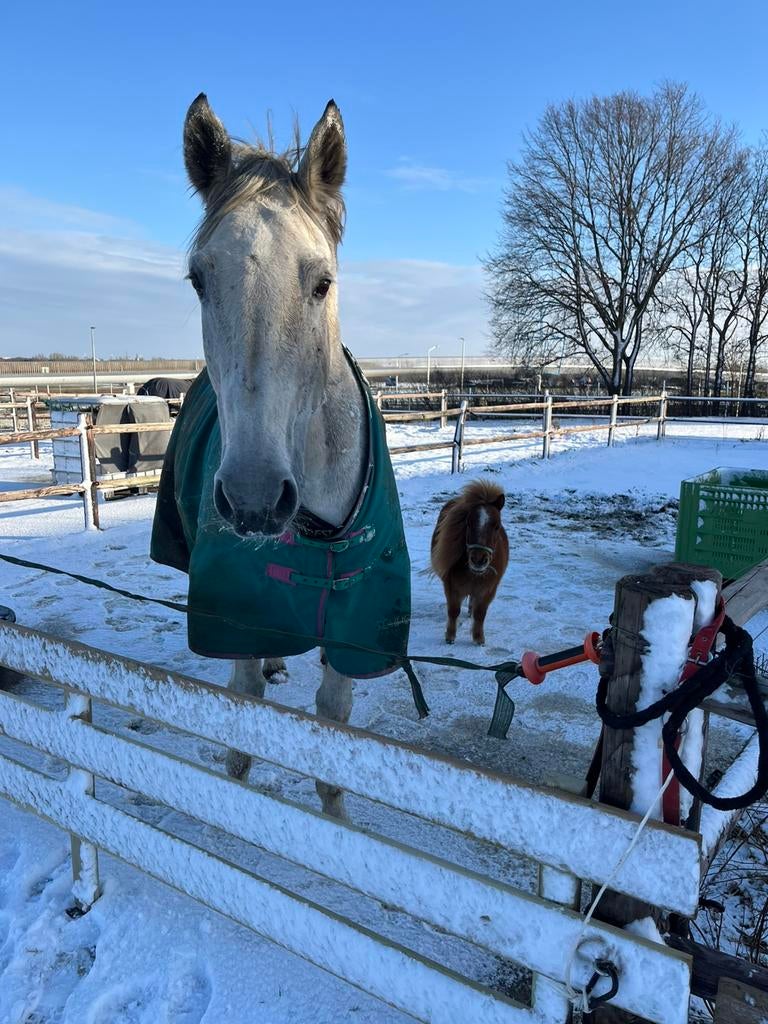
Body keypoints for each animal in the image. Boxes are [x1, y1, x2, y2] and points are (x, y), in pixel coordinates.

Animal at [151, 95, 411, 819]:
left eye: (322, 282)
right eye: (198, 279)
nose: (254, 499)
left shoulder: (354, 632)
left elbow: (331, 739)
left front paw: (337, 819)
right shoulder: (234, 619)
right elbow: (243, 733)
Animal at [430, 479, 509, 646]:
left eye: (497, 526)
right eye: (468, 523)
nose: (479, 559)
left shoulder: (488, 590)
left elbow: (480, 614)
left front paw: (479, 638)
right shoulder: (451, 587)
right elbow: (453, 611)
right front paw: (450, 636)